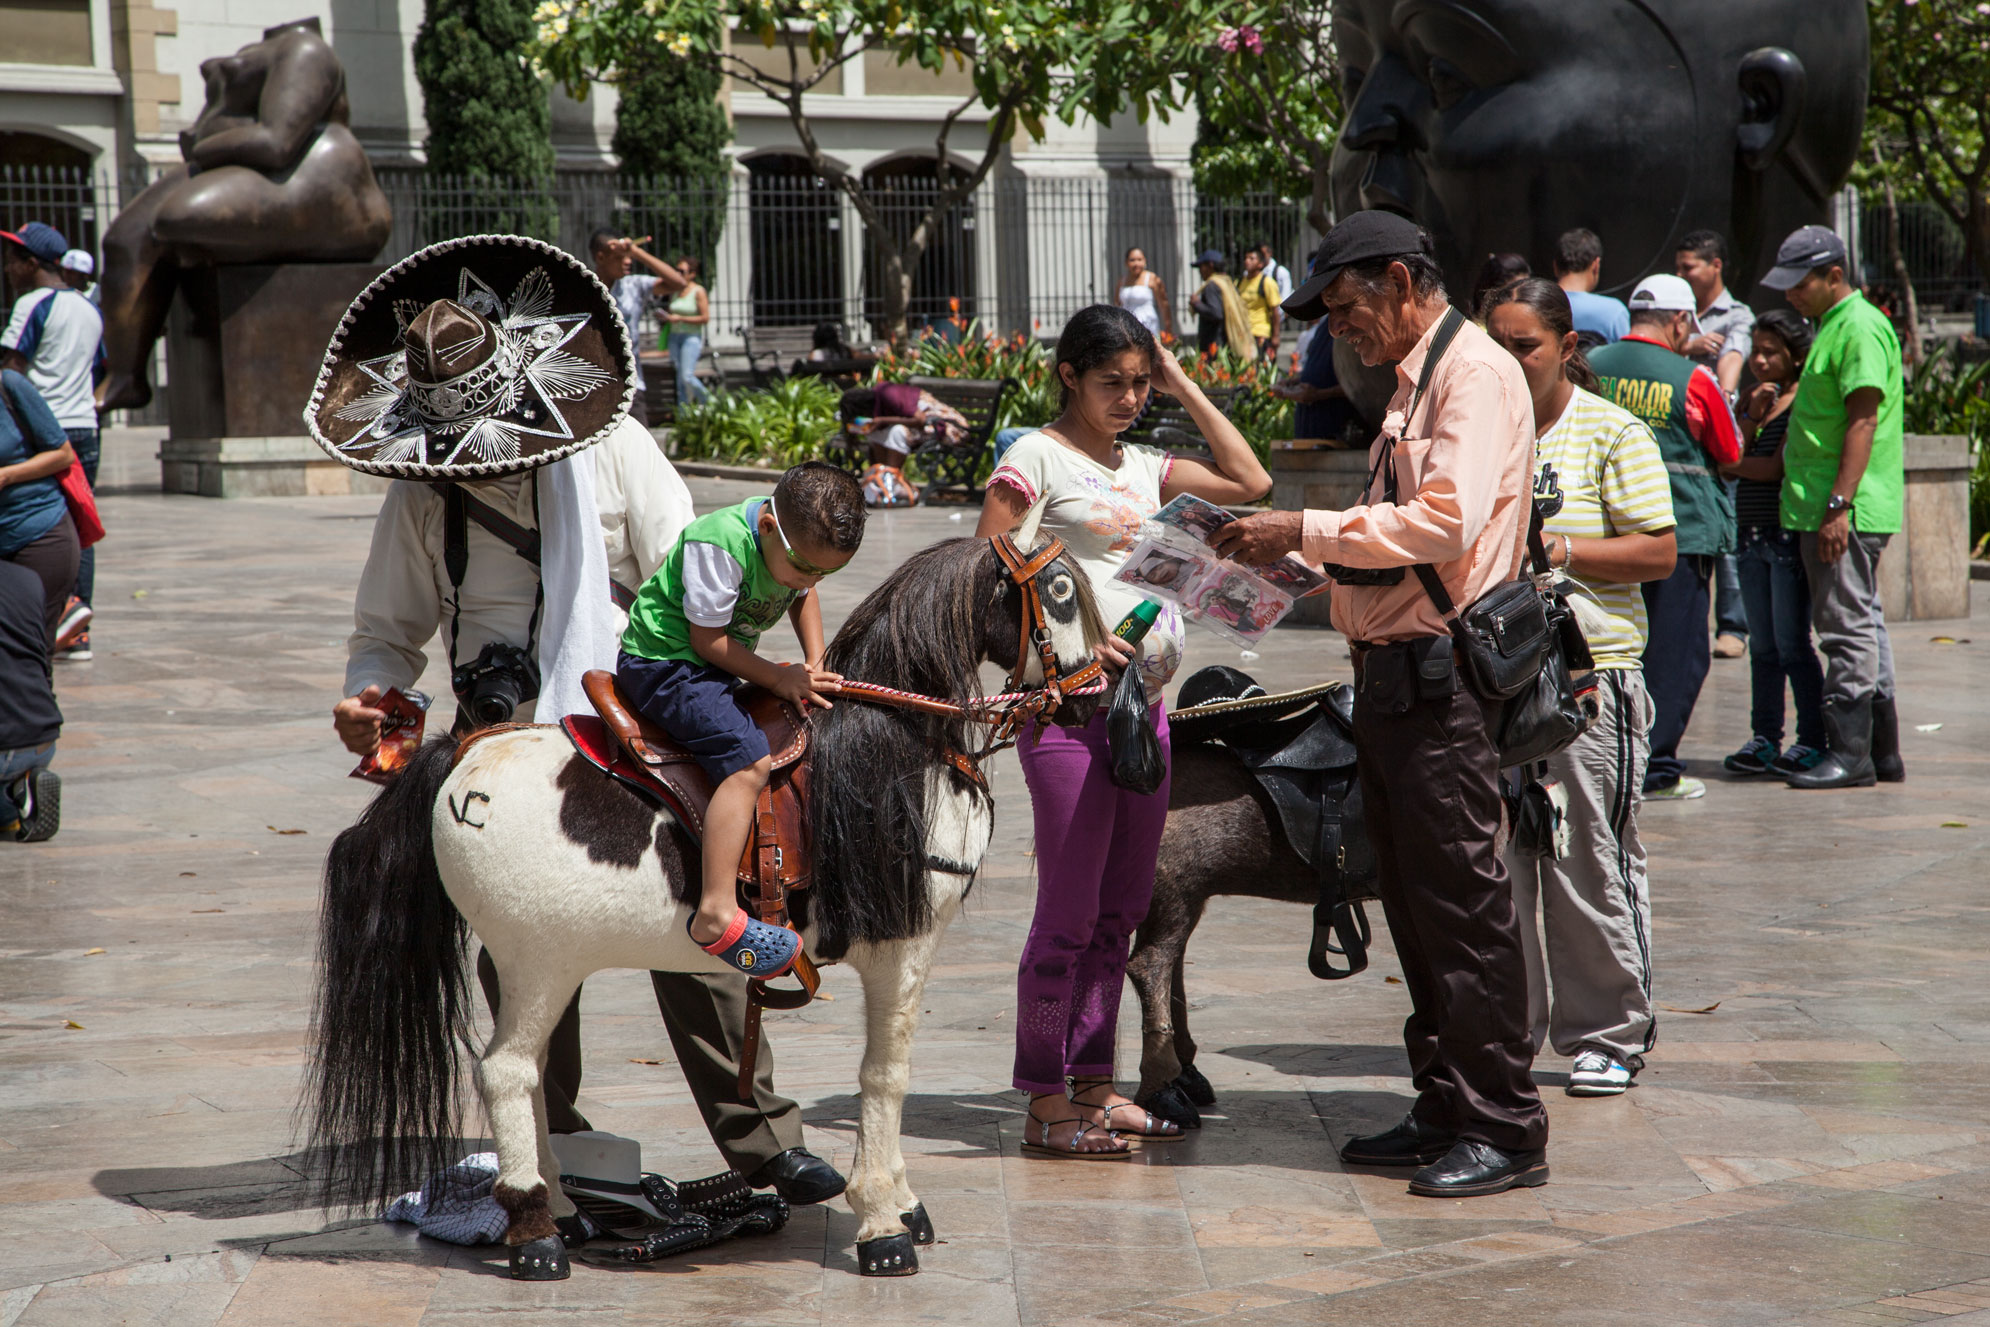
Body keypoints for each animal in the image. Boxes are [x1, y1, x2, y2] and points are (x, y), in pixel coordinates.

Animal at [306, 533, 1106, 1281]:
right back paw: (535, 1232)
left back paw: (561, 1211)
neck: (894, 746)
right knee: (506, 1072)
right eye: (1062, 592)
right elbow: (884, 1077)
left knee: (531, 1077)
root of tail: (466, 755)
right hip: (538, 961)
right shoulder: (900, 950)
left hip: (531, 966)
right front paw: (883, 1222)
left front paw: (902, 1202)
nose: (1098, 691)